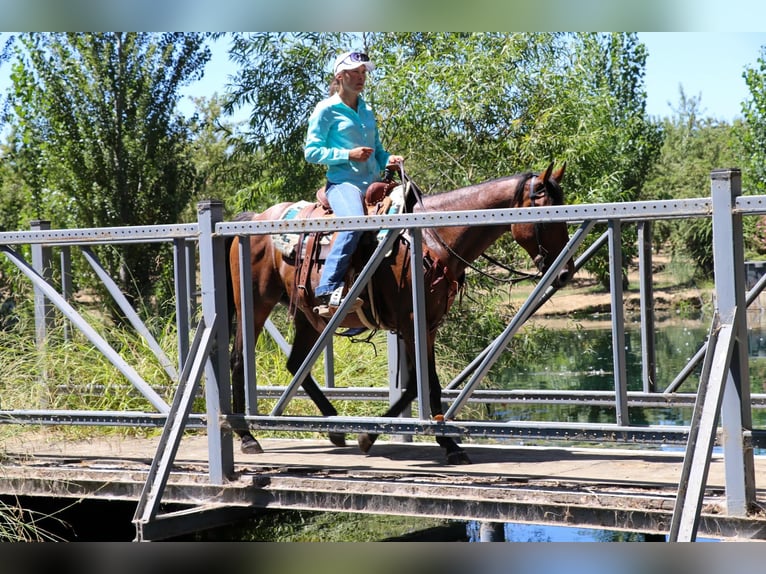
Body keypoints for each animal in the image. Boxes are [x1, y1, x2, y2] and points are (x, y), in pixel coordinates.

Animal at [227, 162, 574, 464]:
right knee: (239, 359)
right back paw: (247, 436)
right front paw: (441, 444)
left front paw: (384, 436)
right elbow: (423, 384)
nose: (566, 273)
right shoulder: (410, 323)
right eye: (547, 217)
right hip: (255, 306)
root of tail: (256, 216)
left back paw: (336, 427)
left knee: (296, 363)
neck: (433, 239)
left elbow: (421, 385)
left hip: (308, 317)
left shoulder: (427, 325)